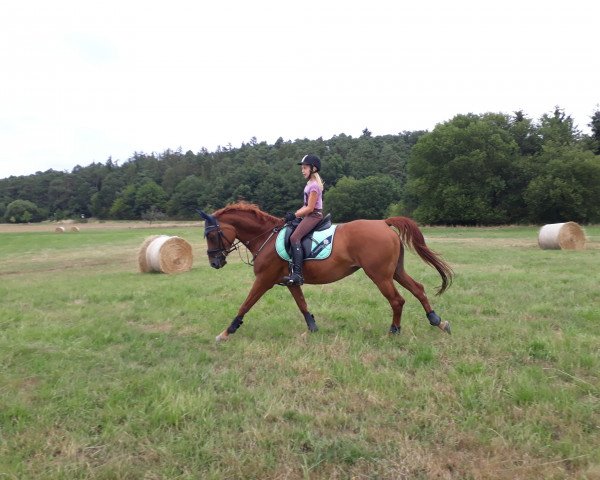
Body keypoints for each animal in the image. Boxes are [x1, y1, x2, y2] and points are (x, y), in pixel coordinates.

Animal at [199, 202, 452, 342]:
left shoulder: (264, 280)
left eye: (211, 235)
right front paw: (312, 328)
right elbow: (302, 305)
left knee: (397, 300)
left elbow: (245, 305)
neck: (266, 237)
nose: (214, 263)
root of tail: (383, 223)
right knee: (418, 289)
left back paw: (393, 331)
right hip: (395, 272)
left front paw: (226, 332)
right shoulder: (291, 282)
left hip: (380, 275)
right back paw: (437, 321)